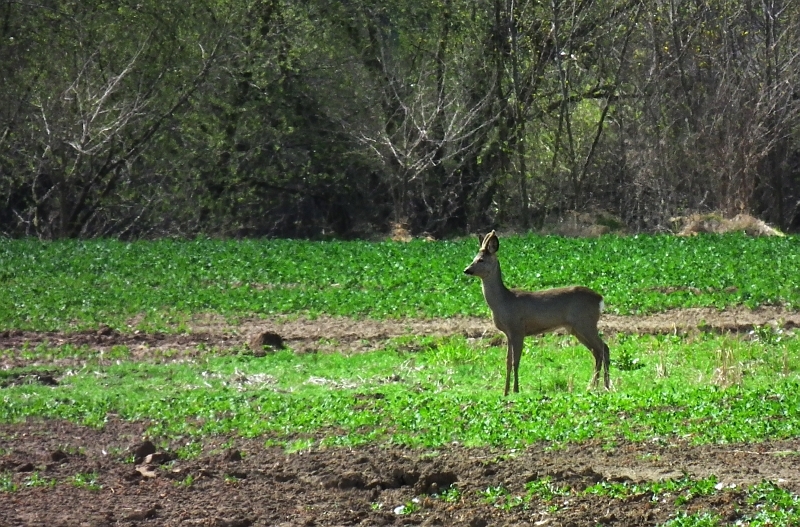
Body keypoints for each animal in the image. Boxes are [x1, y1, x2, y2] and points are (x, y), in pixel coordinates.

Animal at [462, 231, 612, 396]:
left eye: (481, 259)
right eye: (474, 258)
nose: (466, 270)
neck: (503, 302)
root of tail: (600, 299)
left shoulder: (518, 329)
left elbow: (515, 361)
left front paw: (516, 390)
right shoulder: (508, 333)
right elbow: (507, 361)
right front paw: (505, 392)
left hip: (585, 323)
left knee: (604, 348)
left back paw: (605, 386)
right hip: (576, 328)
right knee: (596, 351)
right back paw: (592, 386)